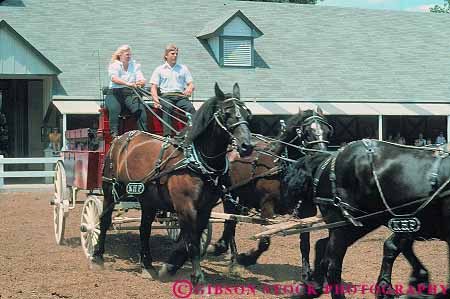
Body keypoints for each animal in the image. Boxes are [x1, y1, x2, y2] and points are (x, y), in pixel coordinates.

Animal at [92, 82, 253, 286]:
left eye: (248, 114)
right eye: (226, 113)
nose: (247, 146)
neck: (196, 160)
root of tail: (119, 139)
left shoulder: (204, 208)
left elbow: (193, 237)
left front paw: (169, 267)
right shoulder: (185, 206)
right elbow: (192, 241)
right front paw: (198, 277)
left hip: (148, 199)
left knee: (144, 229)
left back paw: (147, 265)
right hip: (110, 189)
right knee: (104, 220)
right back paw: (97, 257)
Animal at [207, 108, 330, 278]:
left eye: (327, 131)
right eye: (306, 133)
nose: (322, 155)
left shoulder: (307, 210)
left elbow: (305, 243)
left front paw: (306, 273)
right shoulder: (267, 205)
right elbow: (265, 241)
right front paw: (247, 258)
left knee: (232, 223)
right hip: (228, 195)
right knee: (230, 224)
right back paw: (231, 258)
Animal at [284, 139, 450, 298]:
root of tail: (330, 157)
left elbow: (393, 246)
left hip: (363, 222)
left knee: (321, 246)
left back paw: (313, 286)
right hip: (344, 223)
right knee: (331, 264)